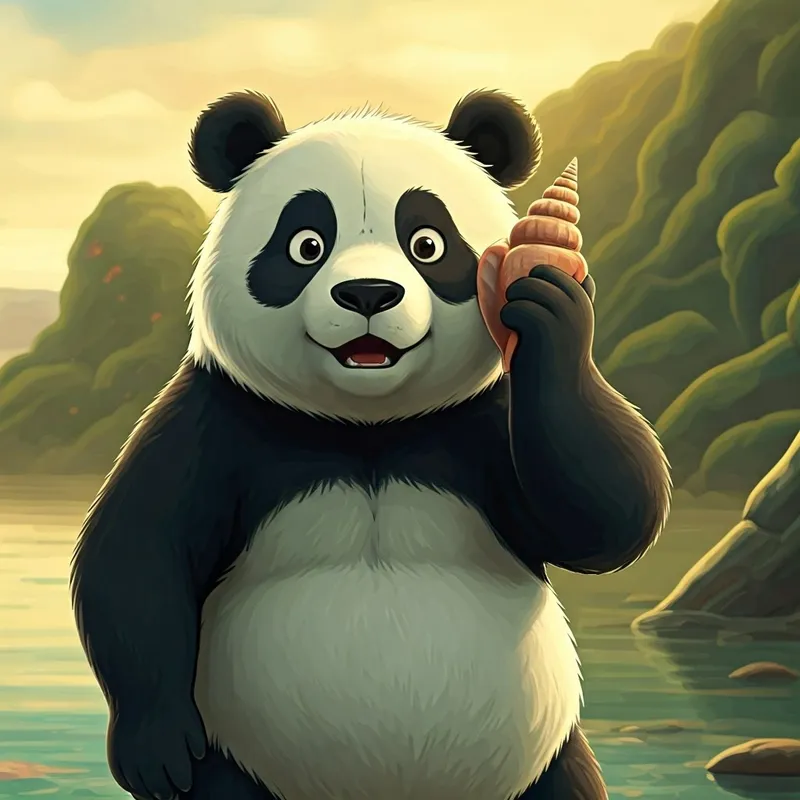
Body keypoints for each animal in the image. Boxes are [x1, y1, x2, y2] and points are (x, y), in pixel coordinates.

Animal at [70, 88, 671, 800]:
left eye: (427, 243)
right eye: (306, 244)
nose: (367, 294)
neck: (369, 430)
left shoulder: (480, 419)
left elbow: (606, 516)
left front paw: (546, 302)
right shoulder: (220, 417)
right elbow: (137, 551)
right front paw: (156, 750)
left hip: (543, 760)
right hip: (240, 762)